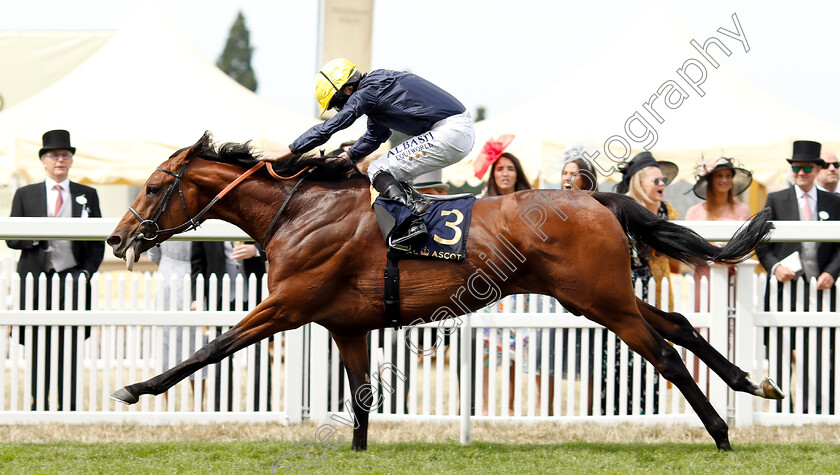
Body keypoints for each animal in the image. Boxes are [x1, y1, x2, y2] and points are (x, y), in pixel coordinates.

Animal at [106, 133, 780, 450]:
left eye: (155, 186)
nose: (117, 238)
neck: (299, 211)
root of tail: (598, 197)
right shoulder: (347, 325)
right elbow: (361, 400)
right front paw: (357, 451)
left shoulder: (287, 306)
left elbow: (211, 348)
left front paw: (136, 388)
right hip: (597, 296)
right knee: (680, 327)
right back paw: (754, 383)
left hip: (601, 301)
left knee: (665, 354)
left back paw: (722, 433)